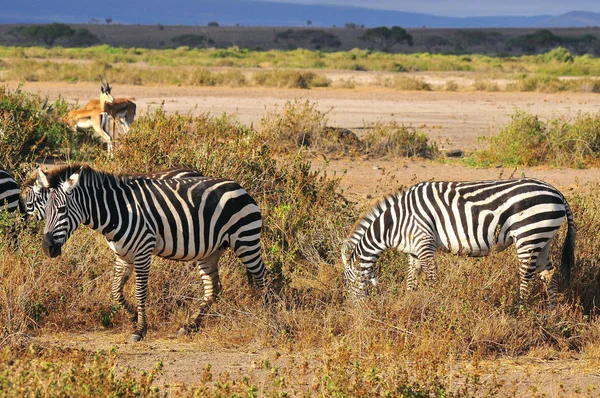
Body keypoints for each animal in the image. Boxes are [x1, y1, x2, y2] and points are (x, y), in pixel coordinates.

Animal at [34, 163, 264, 340]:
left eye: (62, 210)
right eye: (45, 211)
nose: (47, 248)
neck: (117, 211)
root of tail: (238, 186)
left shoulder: (143, 252)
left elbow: (140, 292)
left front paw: (140, 329)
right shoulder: (122, 256)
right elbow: (115, 291)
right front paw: (133, 317)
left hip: (246, 239)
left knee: (261, 276)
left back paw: (265, 317)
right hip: (210, 251)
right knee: (213, 288)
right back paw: (191, 326)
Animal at [340, 179, 576, 306]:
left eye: (349, 283)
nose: (355, 314)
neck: (395, 223)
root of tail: (556, 191)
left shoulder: (424, 242)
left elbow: (432, 278)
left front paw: (433, 305)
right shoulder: (413, 251)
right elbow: (411, 281)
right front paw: (408, 303)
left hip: (528, 235)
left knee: (527, 276)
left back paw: (519, 310)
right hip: (543, 237)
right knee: (548, 274)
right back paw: (551, 313)